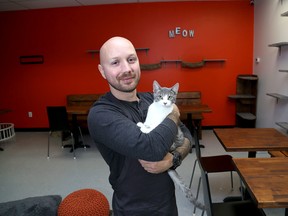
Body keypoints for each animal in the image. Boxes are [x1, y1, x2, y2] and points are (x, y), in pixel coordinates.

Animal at [137, 81, 205, 211]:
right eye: (160, 96)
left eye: (169, 97)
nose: (165, 102)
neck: (159, 110)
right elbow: (148, 122)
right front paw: (142, 124)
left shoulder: (163, 123)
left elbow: (154, 130)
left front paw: (146, 129)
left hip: (177, 137)